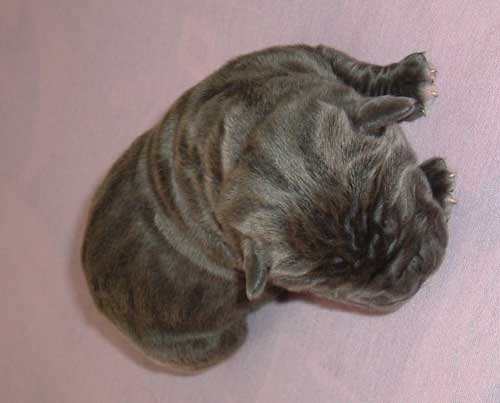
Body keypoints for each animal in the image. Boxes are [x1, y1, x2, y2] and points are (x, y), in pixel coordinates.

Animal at [81, 44, 455, 373]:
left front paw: (409, 80)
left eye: (392, 218)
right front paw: (437, 180)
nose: (412, 274)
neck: (241, 143)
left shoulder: (306, 56)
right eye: (334, 287)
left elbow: (352, 71)